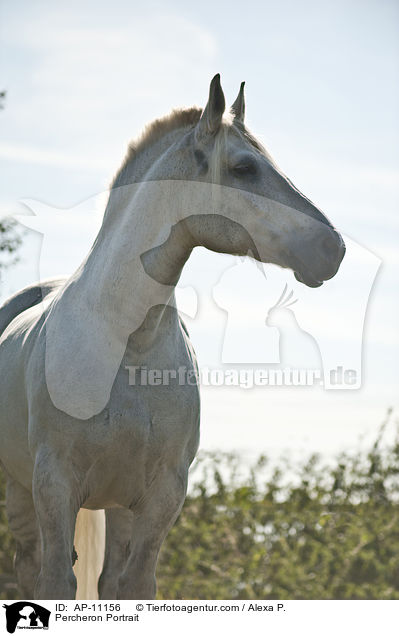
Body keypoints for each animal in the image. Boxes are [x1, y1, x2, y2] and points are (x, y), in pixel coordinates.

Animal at [0, 77, 344, 600]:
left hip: (116, 505)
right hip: (22, 494)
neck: (127, 344)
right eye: (244, 167)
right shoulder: (54, 485)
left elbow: (135, 585)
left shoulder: (162, 495)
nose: (333, 248)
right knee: (30, 569)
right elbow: (57, 581)